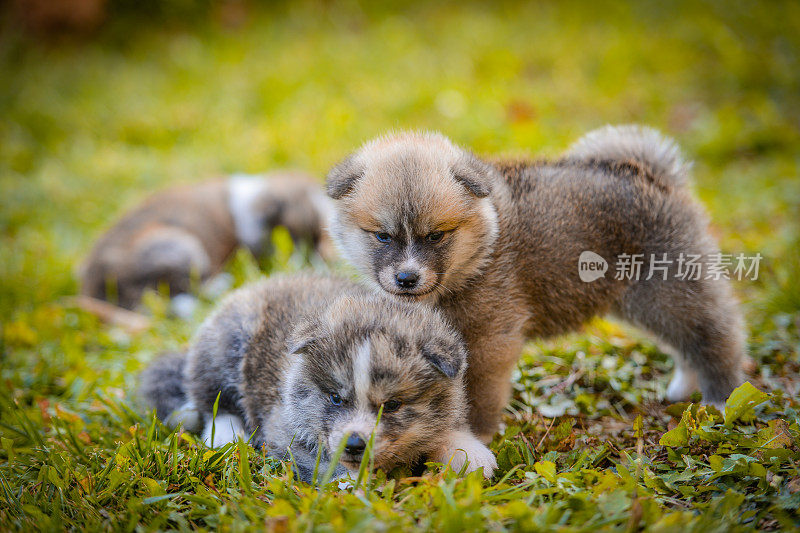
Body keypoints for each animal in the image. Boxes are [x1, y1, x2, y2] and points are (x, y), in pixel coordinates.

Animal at [141, 272, 496, 480]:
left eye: (392, 405)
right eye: (336, 398)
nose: (354, 444)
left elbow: (448, 428)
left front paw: (470, 454)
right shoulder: (284, 428)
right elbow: (327, 463)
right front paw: (355, 484)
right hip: (226, 342)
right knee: (214, 400)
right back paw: (226, 438)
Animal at [324, 125, 744, 440]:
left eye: (436, 236)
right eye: (382, 236)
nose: (407, 278)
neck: (479, 253)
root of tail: (647, 171)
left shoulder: (490, 341)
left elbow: (478, 394)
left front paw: (476, 436)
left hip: (668, 289)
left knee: (714, 334)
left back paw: (722, 397)